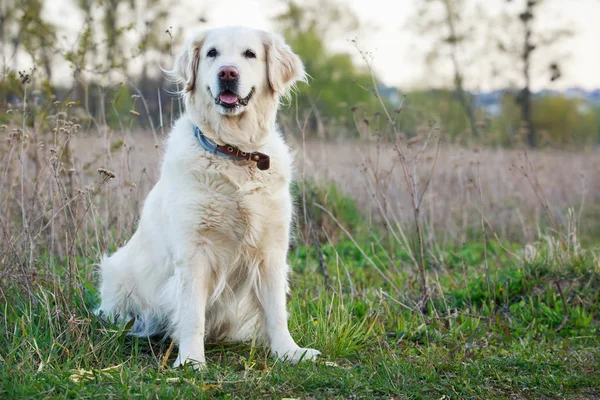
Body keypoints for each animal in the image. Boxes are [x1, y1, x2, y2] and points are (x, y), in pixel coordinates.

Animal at [98, 25, 322, 368]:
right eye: (212, 53)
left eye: (250, 54)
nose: (227, 73)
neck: (235, 152)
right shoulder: (194, 251)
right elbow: (192, 313)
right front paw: (191, 361)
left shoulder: (271, 248)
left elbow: (276, 310)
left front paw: (289, 352)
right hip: (117, 272)